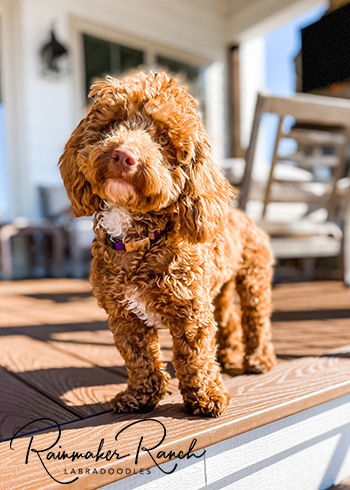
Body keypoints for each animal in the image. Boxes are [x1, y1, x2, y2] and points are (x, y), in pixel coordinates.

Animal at [58, 72, 276, 418]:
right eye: (113, 123)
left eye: (163, 139)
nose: (124, 155)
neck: (138, 242)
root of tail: (243, 215)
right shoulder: (124, 316)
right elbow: (139, 359)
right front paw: (140, 395)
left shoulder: (190, 311)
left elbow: (195, 357)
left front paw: (206, 396)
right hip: (219, 287)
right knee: (228, 319)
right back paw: (228, 355)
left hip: (254, 279)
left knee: (256, 319)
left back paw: (259, 359)